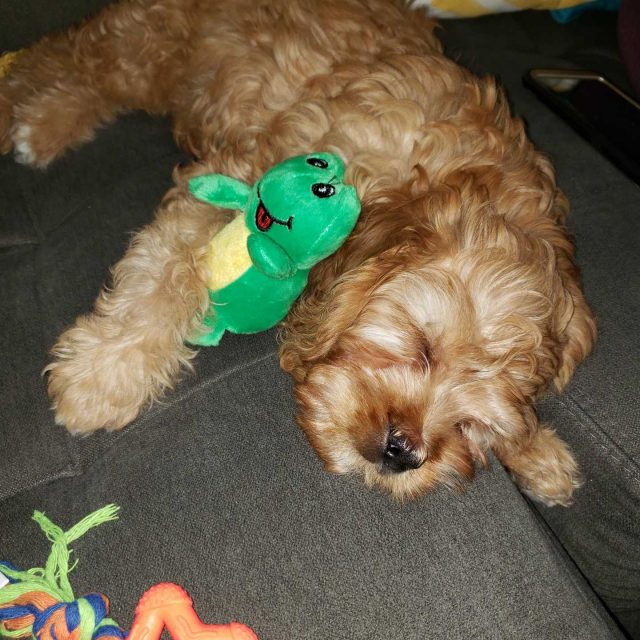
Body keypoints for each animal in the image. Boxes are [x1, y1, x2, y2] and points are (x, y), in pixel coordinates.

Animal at [0, 2, 596, 508]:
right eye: (422, 347)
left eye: (474, 422)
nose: (402, 452)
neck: (430, 177)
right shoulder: (247, 185)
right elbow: (164, 272)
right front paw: (101, 376)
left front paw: (540, 453)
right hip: (143, 44)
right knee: (55, 59)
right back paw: (31, 118)